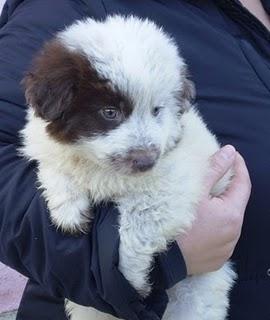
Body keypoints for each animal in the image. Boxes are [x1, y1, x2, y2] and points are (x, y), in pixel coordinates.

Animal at [20, 16, 236, 320]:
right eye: (110, 112)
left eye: (157, 110)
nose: (146, 161)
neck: (99, 167)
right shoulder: (48, 146)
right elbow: (54, 168)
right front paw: (69, 212)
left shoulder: (169, 190)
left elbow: (136, 227)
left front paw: (131, 279)